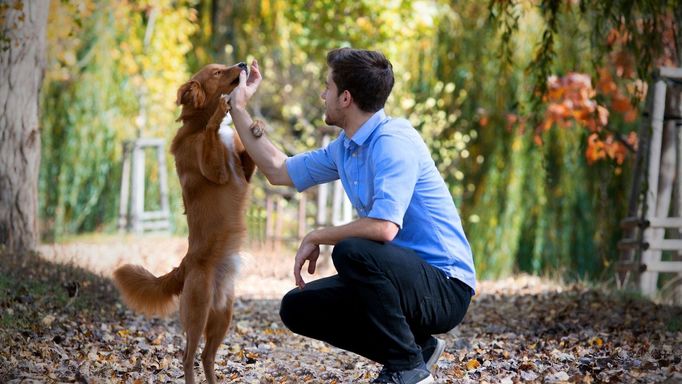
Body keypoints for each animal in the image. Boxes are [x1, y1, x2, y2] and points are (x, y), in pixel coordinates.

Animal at [114, 61, 258, 382]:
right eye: (217, 72)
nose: (243, 64)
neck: (196, 125)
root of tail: (185, 265)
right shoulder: (217, 171)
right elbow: (212, 139)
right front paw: (220, 115)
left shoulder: (243, 171)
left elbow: (248, 157)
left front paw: (256, 124)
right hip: (197, 312)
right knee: (188, 357)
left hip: (223, 315)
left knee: (207, 356)